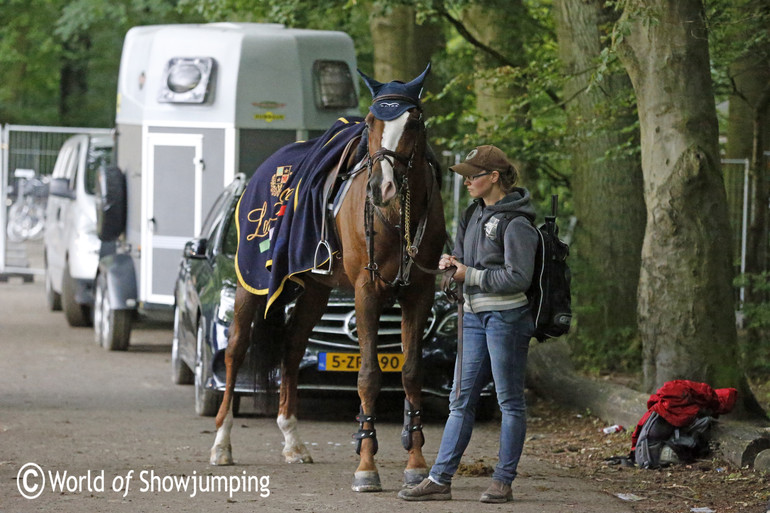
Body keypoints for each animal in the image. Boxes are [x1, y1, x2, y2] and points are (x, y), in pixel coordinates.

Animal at [206, 64, 444, 492]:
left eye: (414, 121)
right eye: (370, 123)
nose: (381, 187)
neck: (397, 215)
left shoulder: (419, 292)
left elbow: (412, 372)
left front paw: (416, 463)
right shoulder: (367, 291)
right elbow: (368, 376)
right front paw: (366, 466)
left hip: (315, 291)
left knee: (292, 348)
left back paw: (293, 441)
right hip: (252, 285)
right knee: (235, 351)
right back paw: (221, 444)